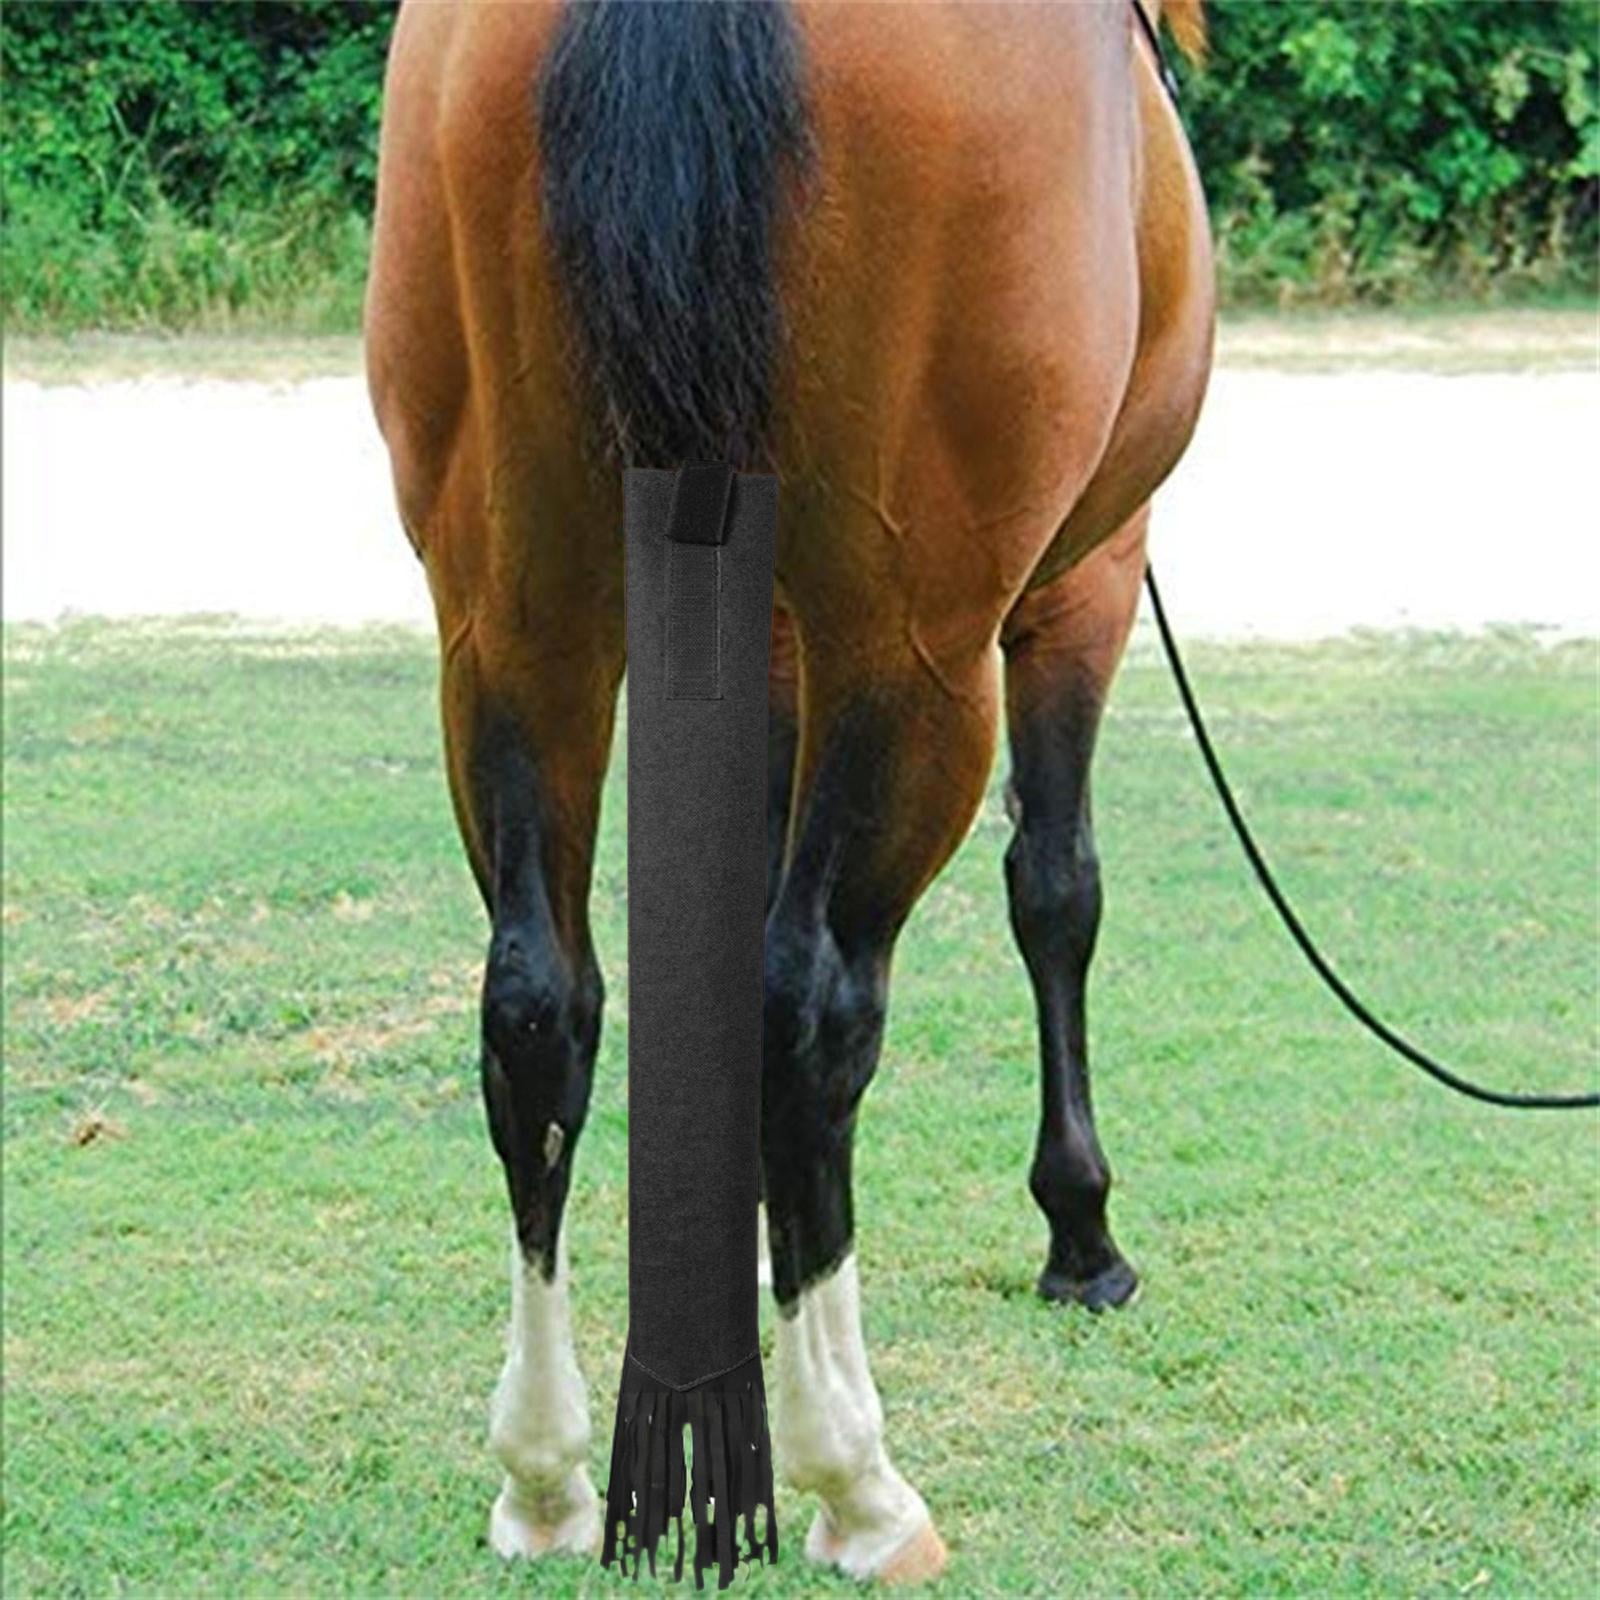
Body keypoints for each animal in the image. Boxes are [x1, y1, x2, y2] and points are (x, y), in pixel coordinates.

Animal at [366, 0, 1212, 1581]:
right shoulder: (1085, 579)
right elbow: (1056, 892)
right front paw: (1080, 1231)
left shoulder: (754, 638)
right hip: (916, 640)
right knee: (813, 1005)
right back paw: (857, 1483)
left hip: (511, 613)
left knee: (536, 1006)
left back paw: (548, 1477)